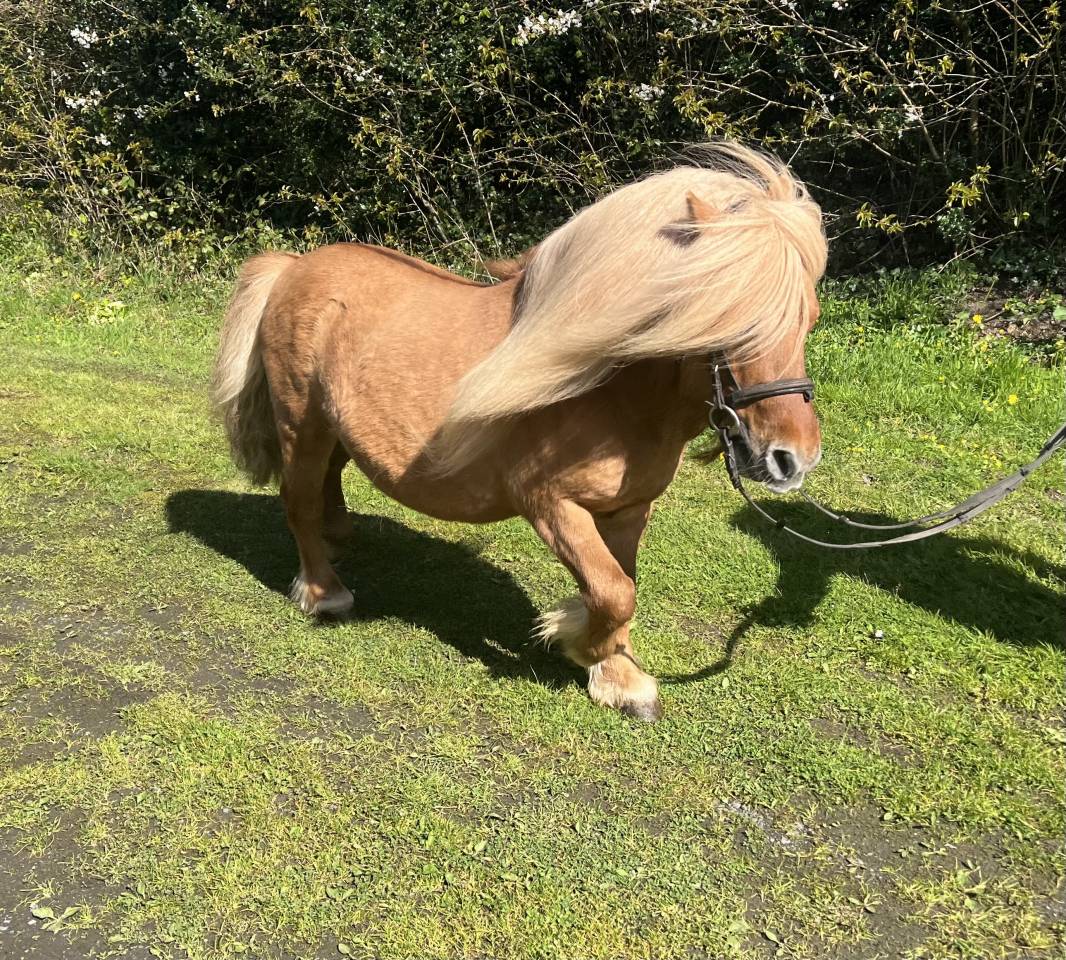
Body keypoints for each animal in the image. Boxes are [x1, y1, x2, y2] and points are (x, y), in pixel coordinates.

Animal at [210, 142, 827, 721]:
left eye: (809, 319)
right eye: (732, 322)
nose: (793, 459)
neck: (608, 389)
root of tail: (295, 266)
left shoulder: (629, 509)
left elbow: (621, 585)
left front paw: (617, 675)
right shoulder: (549, 503)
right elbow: (612, 592)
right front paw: (582, 645)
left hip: (334, 425)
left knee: (329, 480)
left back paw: (339, 537)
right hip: (301, 422)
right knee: (298, 499)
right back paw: (325, 592)